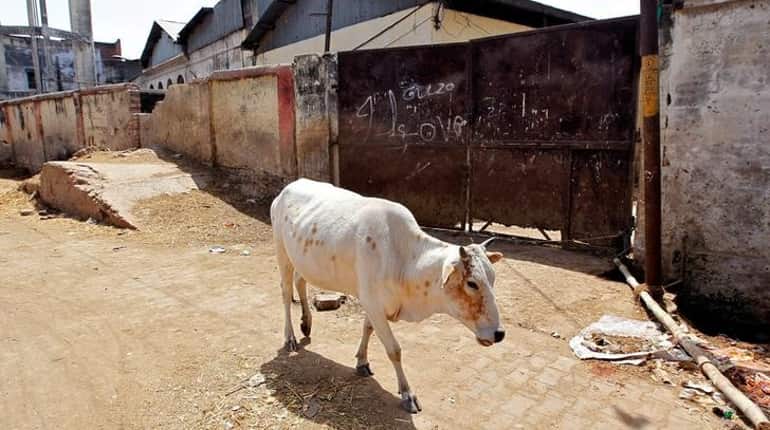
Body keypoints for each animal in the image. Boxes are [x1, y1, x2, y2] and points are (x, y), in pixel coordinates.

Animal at [270, 178, 505, 413]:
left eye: (493, 278)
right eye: (472, 283)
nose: (499, 333)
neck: (402, 259)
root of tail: (288, 188)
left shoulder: (373, 303)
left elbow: (367, 328)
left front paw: (362, 362)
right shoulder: (372, 303)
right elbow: (394, 349)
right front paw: (407, 394)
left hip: (302, 260)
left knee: (300, 281)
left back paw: (306, 323)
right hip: (282, 252)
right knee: (286, 292)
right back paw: (290, 337)